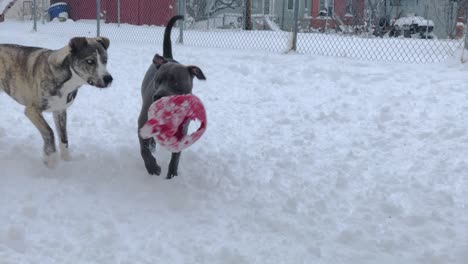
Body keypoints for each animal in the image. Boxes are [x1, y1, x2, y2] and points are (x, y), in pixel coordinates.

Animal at [138, 15, 206, 178]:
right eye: (157, 80)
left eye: (175, 82)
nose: (158, 96)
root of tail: (168, 57)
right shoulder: (142, 123)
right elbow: (144, 149)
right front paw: (152, 166)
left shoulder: (182, 131)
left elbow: (176, 155)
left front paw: (172, 174)